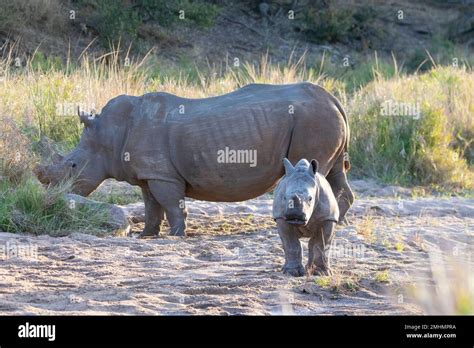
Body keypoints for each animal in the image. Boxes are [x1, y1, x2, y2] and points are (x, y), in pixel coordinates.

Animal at [35, 83, 354, 237]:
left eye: (72, 166)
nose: (54, 199)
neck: (108, 134)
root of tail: (333, 99)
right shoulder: (150, 173)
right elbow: (152, 205)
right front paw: (146, 236)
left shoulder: (162, 174)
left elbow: (171, 205)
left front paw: (176, 235)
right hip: (319, 118)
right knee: (333, 173)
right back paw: (337, 223)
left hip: (312, 120)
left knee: (314, 174)